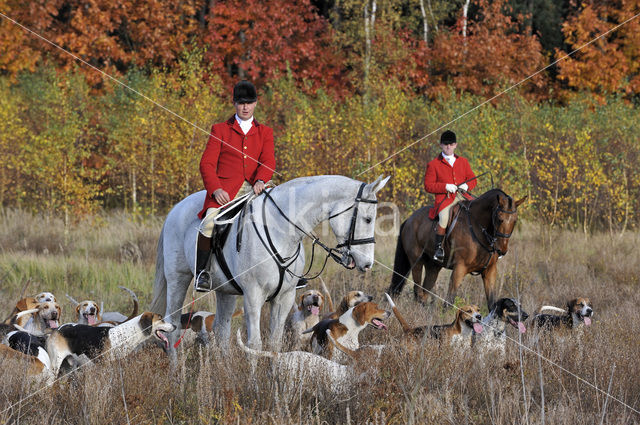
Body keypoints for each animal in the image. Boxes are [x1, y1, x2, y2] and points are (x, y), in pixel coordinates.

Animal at [151, 175, 390, 354]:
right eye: (368, 219)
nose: (367, 263)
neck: (281, 229)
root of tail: (176, 209)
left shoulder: (285, 297)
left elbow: (274, 343)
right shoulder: (253, 295)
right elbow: (254, 344)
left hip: (225, 290)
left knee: (221, 331)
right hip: (178, 279)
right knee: (173, 328)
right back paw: (177, 377)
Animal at [388, 189, 528, 308]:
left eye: (515, 220)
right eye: (499, 219)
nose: (501, 250)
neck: (478, 227)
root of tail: (409, 220)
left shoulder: (490, 271)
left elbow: (492, 304)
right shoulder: (460, 268)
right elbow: (449, 303)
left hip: (433, 266)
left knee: (425, 292)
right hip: (416, 262)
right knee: (417, 291)